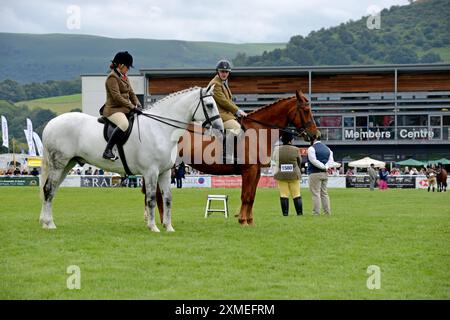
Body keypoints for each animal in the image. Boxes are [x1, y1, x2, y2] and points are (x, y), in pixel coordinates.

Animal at [147, 90, 316, 225]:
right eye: (306, 110)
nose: (315, 134)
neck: (257, 131)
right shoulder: (249, 170)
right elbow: (245, 196)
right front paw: (243, 220)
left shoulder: (256, 171)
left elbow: (251, 196)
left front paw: (249, 220)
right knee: (158, 194)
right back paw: (161, 220)